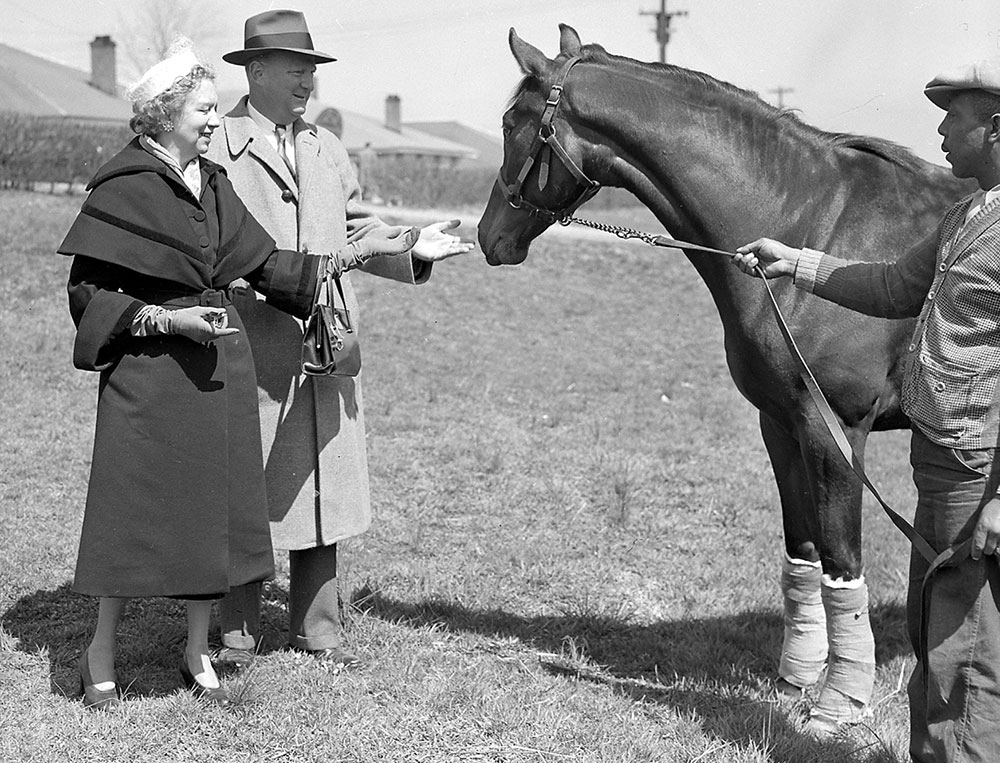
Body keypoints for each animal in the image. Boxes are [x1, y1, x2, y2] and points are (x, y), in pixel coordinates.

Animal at [480, 25, 972, 736]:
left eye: (510, 123)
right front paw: (797, 677)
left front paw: (839, 700)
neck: (811, 224)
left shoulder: (837, 432)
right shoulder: (782, 424)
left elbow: (841, 561)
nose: (489, 236)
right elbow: (804, 552)